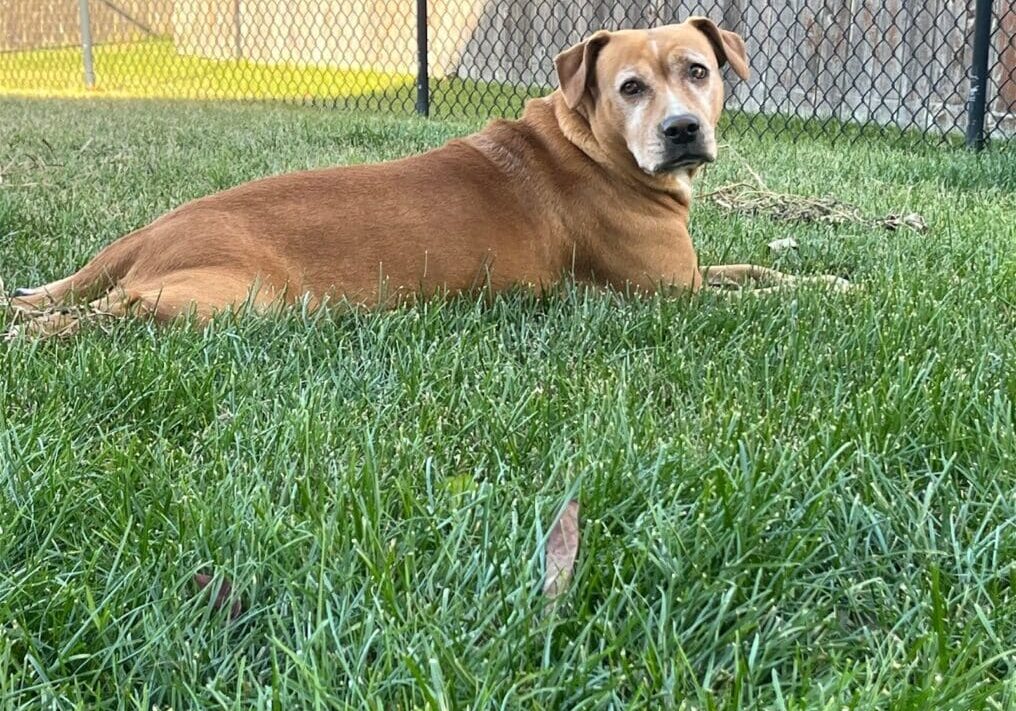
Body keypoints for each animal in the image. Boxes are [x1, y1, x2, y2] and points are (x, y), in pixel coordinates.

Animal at [7, 18, 849, 335]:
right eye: (630, 87)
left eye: (698, 70)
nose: (682, 130)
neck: (591, 145)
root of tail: (147, 231)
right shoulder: (676, 293)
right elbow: (765, 287)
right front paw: (832, 288)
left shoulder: (695, 274)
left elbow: (759, 267)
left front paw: (832, 277)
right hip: (231, 298)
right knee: (103, 314)